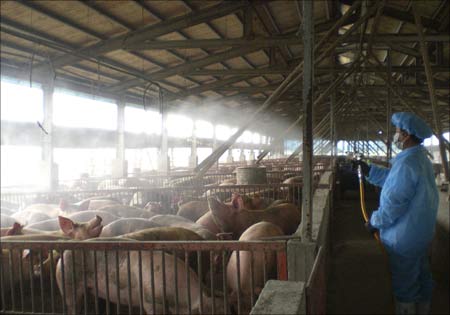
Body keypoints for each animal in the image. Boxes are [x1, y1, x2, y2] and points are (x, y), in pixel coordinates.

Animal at [56, 244, 227, 314]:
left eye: (228, 311)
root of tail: (61, 256)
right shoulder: (150, 300)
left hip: (89, 289)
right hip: (67, 284)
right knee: (72, 306)